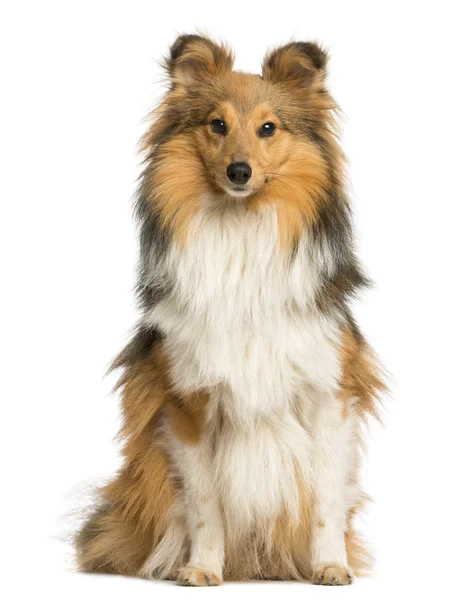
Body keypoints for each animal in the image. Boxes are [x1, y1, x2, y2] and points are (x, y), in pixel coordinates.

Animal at [75, 32, 386, 584]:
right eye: (216, 124)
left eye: (268, 128)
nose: (239, 172)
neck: (241, 228)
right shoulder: (187, 403)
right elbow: (204, 504)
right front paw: (201, 568)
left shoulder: (328, 394)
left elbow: (326, 499)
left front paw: (331, 566)